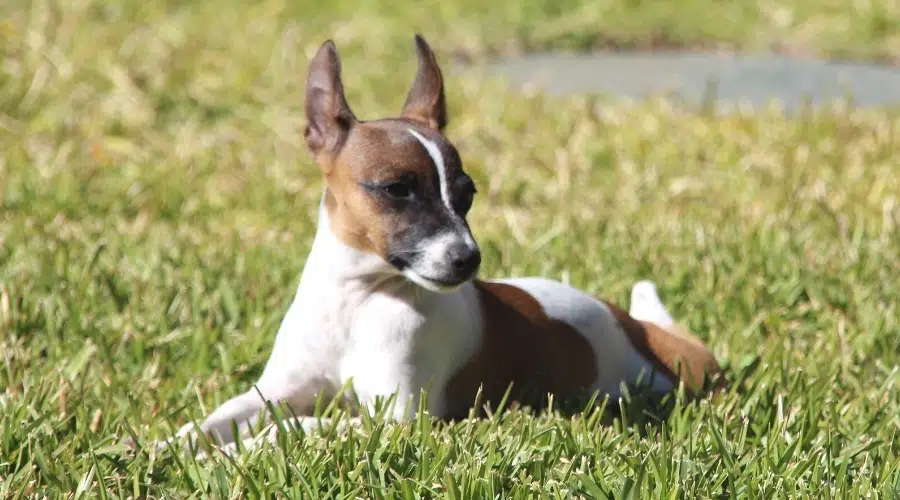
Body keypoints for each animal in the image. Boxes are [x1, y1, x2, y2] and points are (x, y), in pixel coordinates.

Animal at [158, 34, 728, 458]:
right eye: (397, 190)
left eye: (467, 193)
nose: (468, 260)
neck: (358, 302)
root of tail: (643, 332)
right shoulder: (274, 392)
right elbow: (212, 420)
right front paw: (164, 447)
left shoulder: (397, 421)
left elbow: (295, 427)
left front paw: (236, 453)